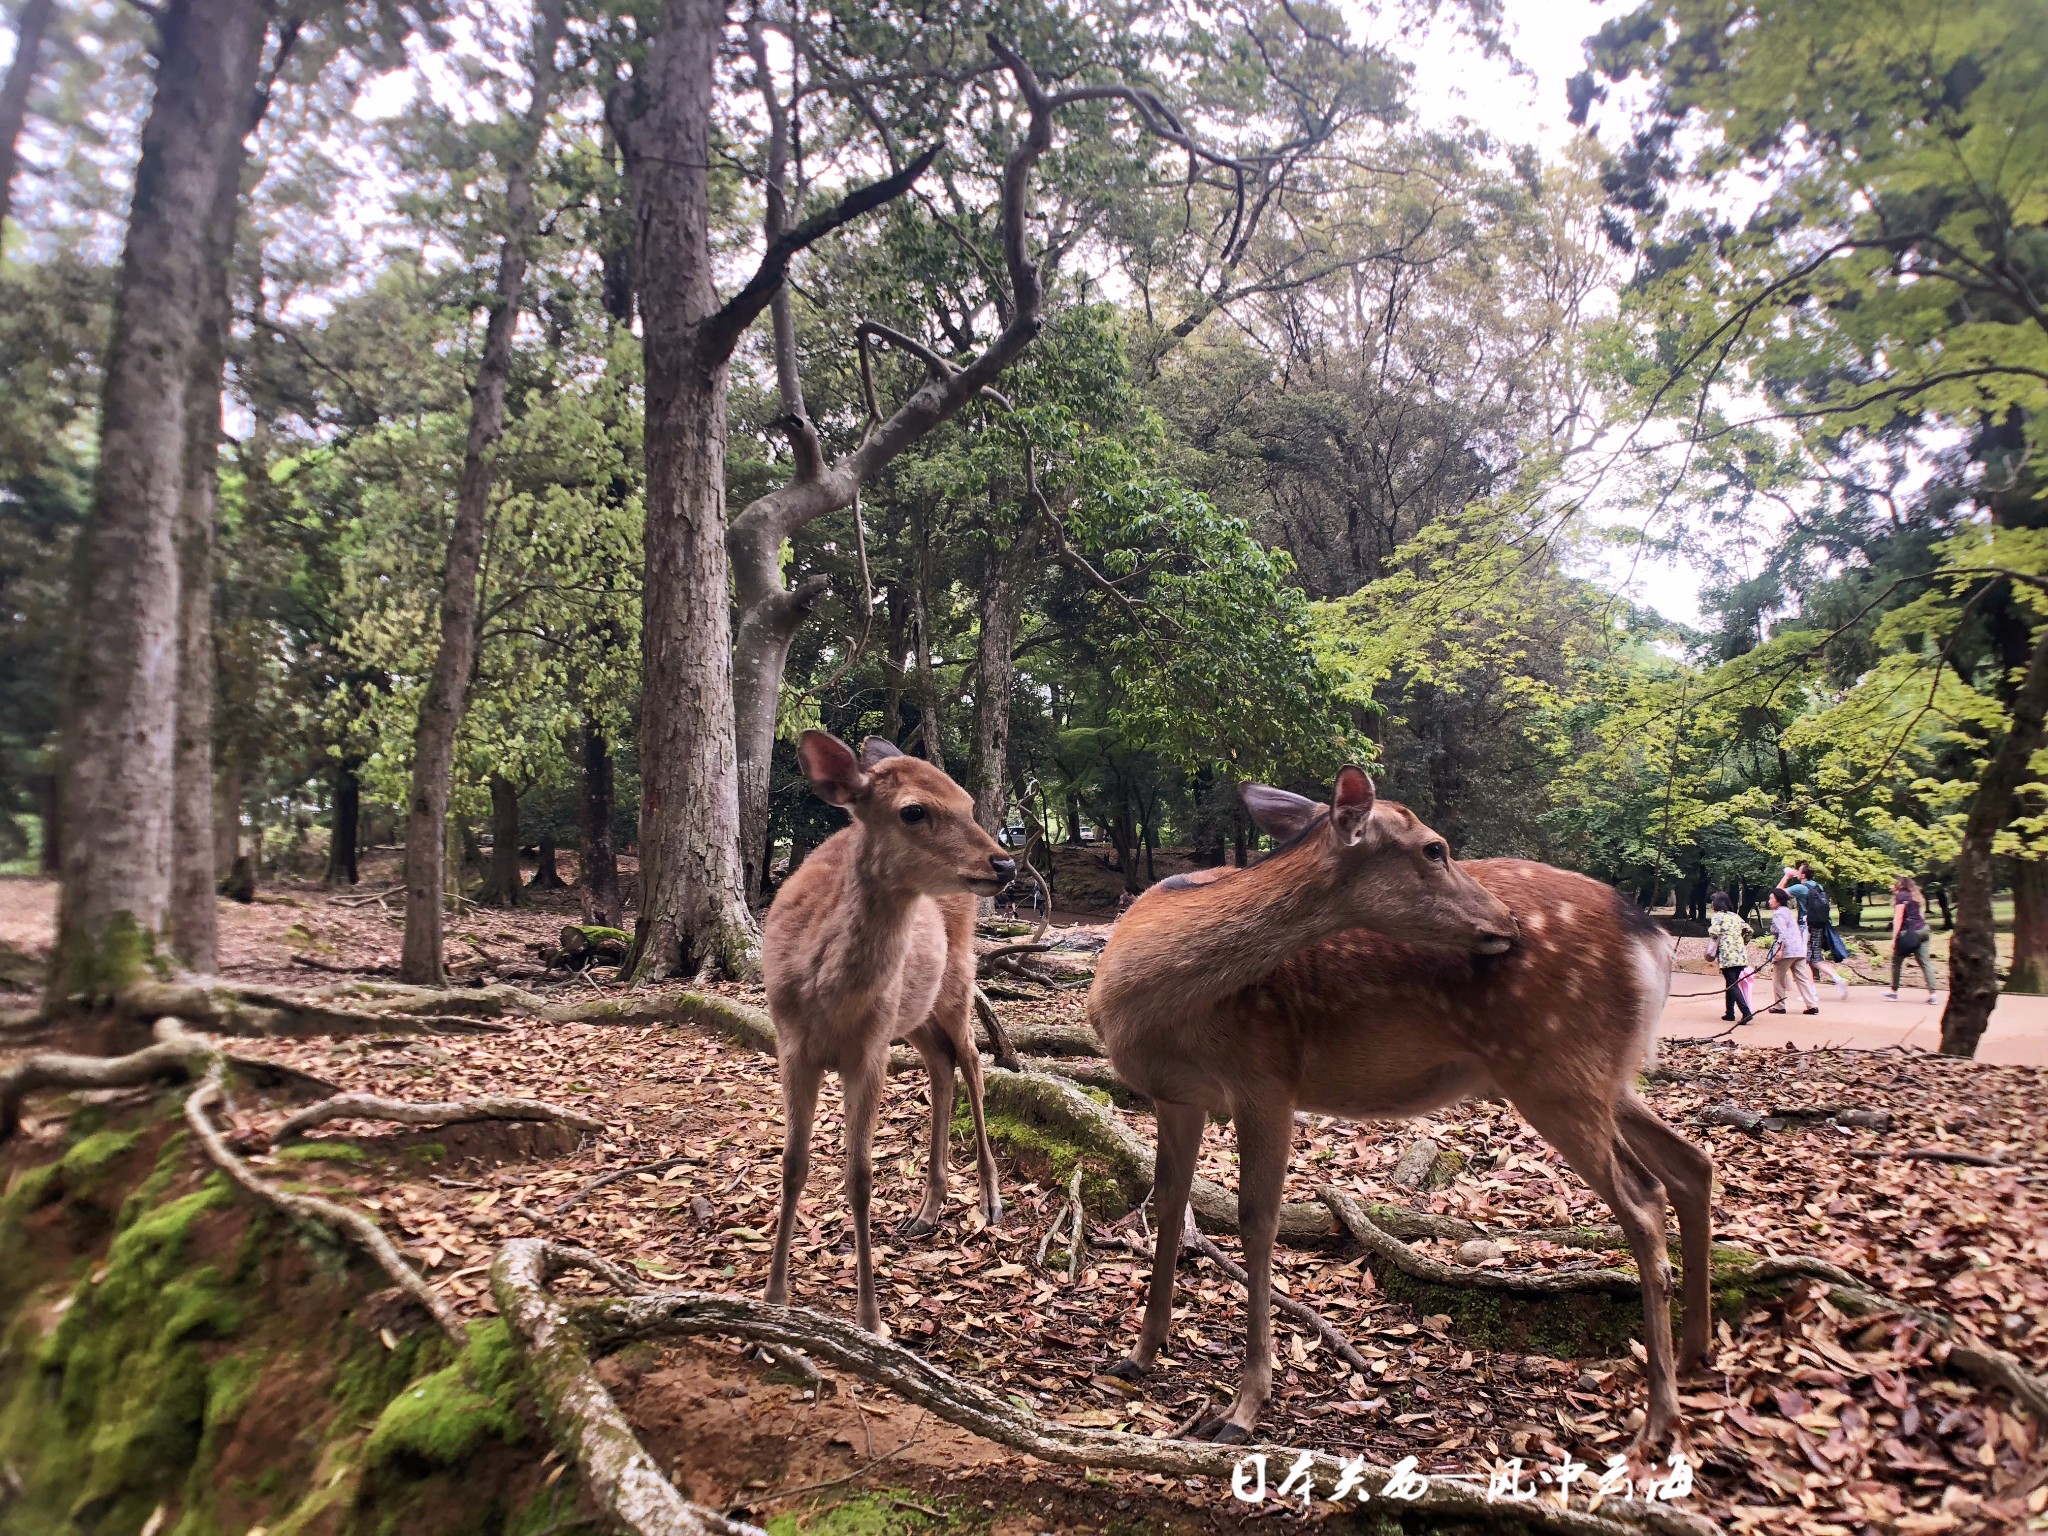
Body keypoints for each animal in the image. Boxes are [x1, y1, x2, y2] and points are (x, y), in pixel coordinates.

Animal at [765, 729, 1011, 1335]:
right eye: (913, 811)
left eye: (969, 802)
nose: (1005, 863)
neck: (826, 999)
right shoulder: (790, 1044)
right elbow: (792, 1164)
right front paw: (775, 1295)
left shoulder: (870, 1051)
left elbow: (859, 1175)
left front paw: (871, 1317)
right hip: (914, 1013)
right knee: (942, 1065)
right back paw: (926, 1211)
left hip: (957, 980)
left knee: (973, 1060)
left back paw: (990, 1200)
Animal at [1097, 782, 1703, 1458]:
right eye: (1434, 848)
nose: (1507, 922)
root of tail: (1649, 932)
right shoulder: (1177, 1096)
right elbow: (1169, 1203)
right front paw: (1138, 1355)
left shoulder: (1267, 1079)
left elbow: (1257, 1224)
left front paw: (1244, 1407)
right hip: (1601, 1075)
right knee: (1690, 1164)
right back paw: (1697, 1355)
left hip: (1556, 1069)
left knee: (1644, 1198)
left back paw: (1659, 1418)